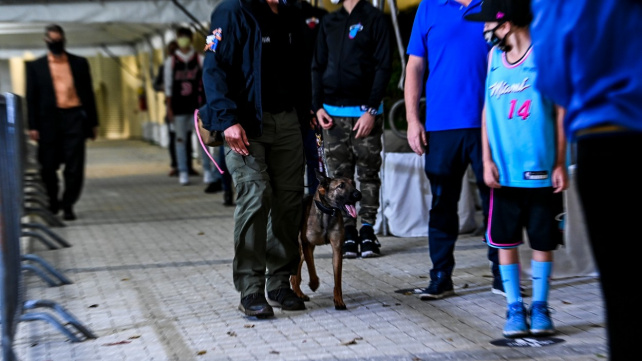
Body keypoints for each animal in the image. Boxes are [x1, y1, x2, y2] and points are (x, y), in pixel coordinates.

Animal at [290, 170, 360, 308]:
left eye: (353, 183)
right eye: (341, 186)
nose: (358, 194)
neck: (327, 210)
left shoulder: (337, 249)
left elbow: (337, 279)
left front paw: (338, 300)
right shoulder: (307, 245)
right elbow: (312, 268)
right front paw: (314, 284)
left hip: (300, 253)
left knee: (295, 277)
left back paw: (299, 294)